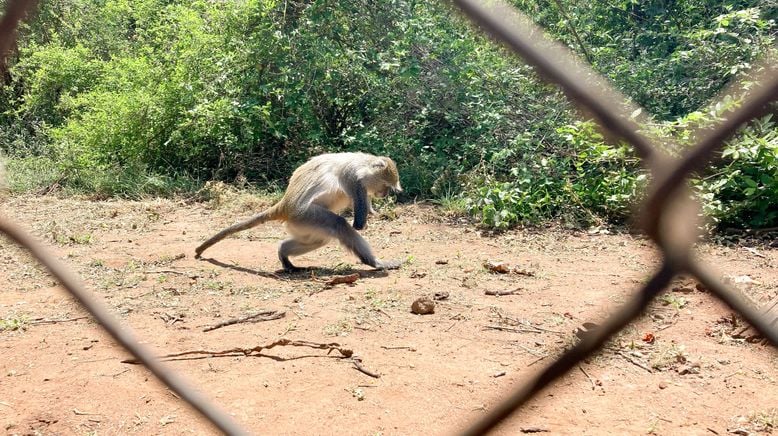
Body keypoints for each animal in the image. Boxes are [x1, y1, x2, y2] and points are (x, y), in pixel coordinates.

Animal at [194, 152, 404, 270]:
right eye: (386, 185)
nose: (385, 194)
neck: (362, 162)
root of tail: (285, 205)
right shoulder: (353, 176)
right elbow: (357, 208)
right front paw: (360, 222)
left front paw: (373, 211)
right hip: (304, 216)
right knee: (338, 225)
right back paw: (374, 263)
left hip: (301, 222)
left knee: (319, 239)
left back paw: (283, 253)